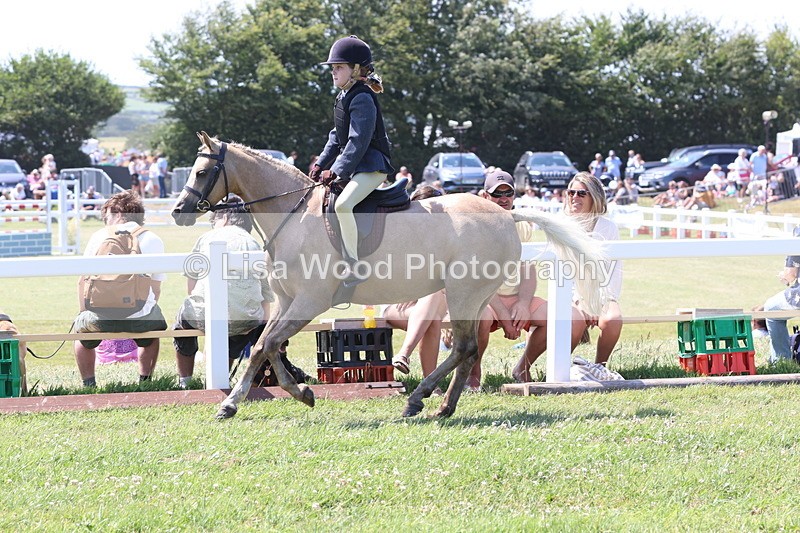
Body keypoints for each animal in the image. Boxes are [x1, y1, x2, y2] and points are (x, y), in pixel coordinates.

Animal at [172, 132, 606, 420]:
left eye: (201, 171)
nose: (179, 211)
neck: (294, 215)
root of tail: (506, 215)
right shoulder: (286, 302)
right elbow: (267, 346)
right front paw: (294, 393)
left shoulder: (309, 302)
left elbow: (266, 345)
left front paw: (240, 403)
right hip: (474, 297)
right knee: (469, 350)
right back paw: (442, 406)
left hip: (463, 294)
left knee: (465, 347)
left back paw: (420, 400)